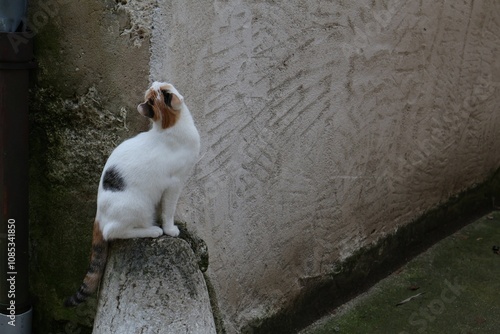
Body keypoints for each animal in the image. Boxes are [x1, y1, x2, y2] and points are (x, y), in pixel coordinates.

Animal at [64, 82, 199, 306]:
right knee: (114, 232)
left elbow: (164, 209)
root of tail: (98, 216)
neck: (169, 129)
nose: (154, 83)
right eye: (157, 94)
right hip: (140, 207)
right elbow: (168, 211)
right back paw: (152, 230)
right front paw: (170, 229)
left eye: (160, 89)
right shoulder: (174, 184)